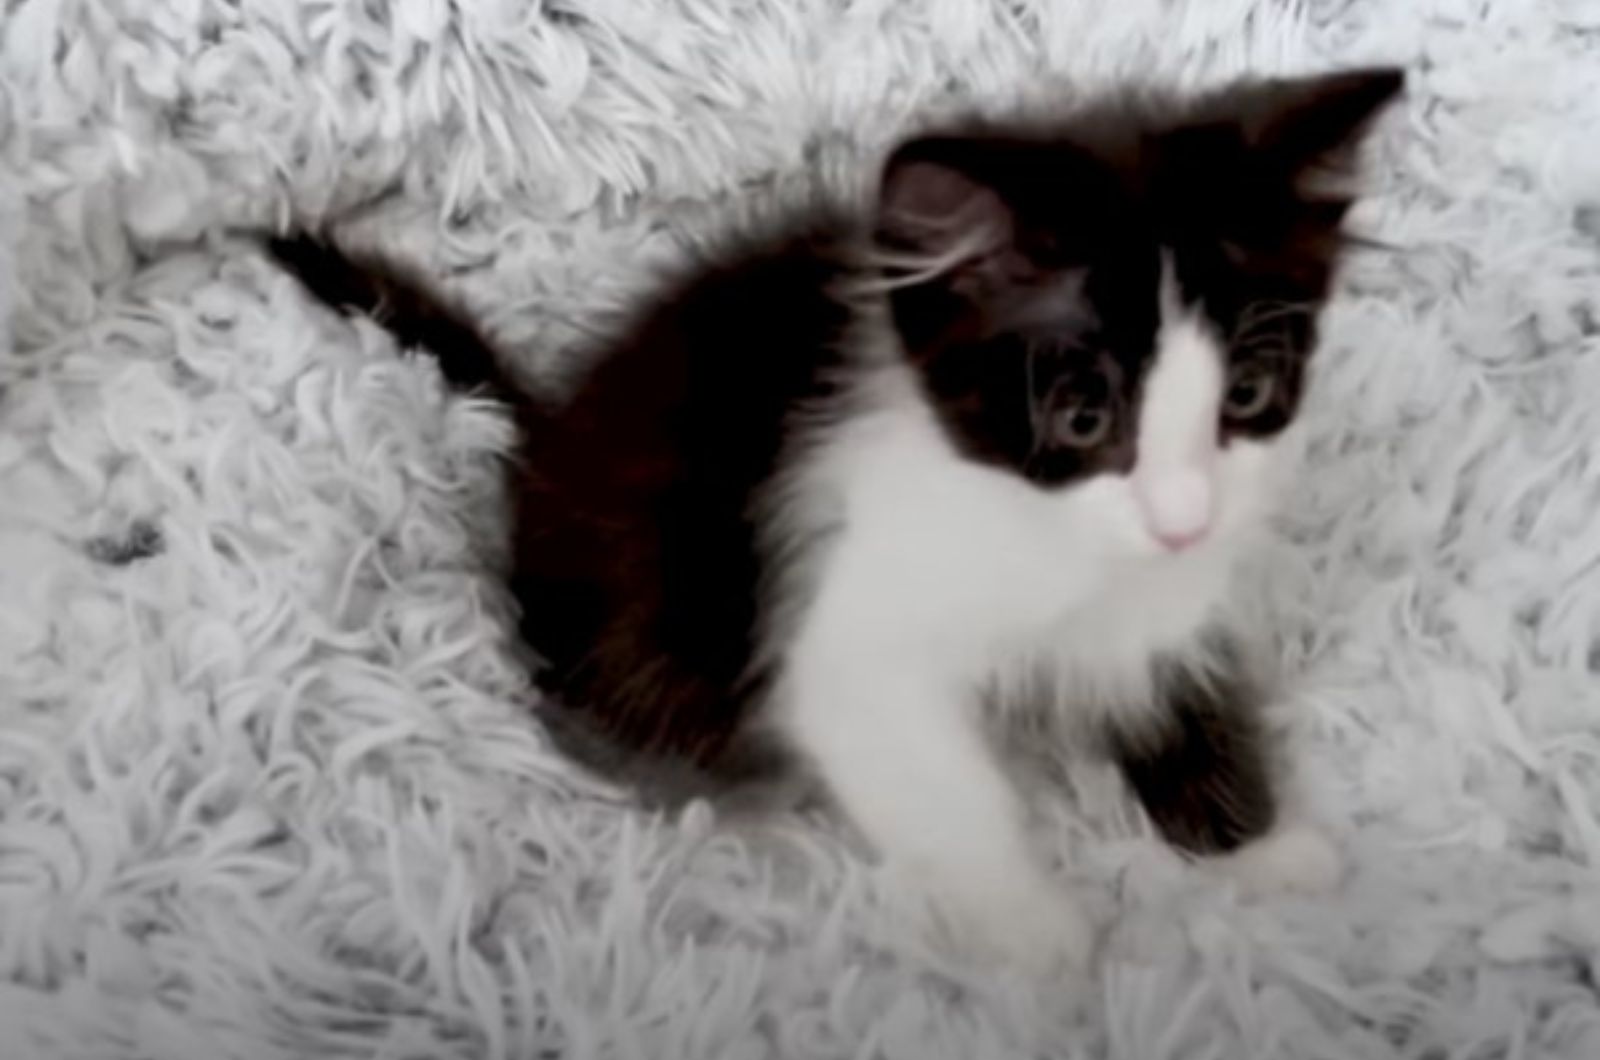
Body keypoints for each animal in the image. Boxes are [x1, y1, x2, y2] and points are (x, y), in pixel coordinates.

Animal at [268, 70, 1408, 973]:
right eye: (1084, 419)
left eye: (1246, 397)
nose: (1183, 519)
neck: (1056, 543)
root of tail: (546, 435)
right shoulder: (855, 629)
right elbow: (930, 776)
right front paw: (1035, 934)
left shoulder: (1165, 598)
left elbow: (1178, 686)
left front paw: (1255, 845)